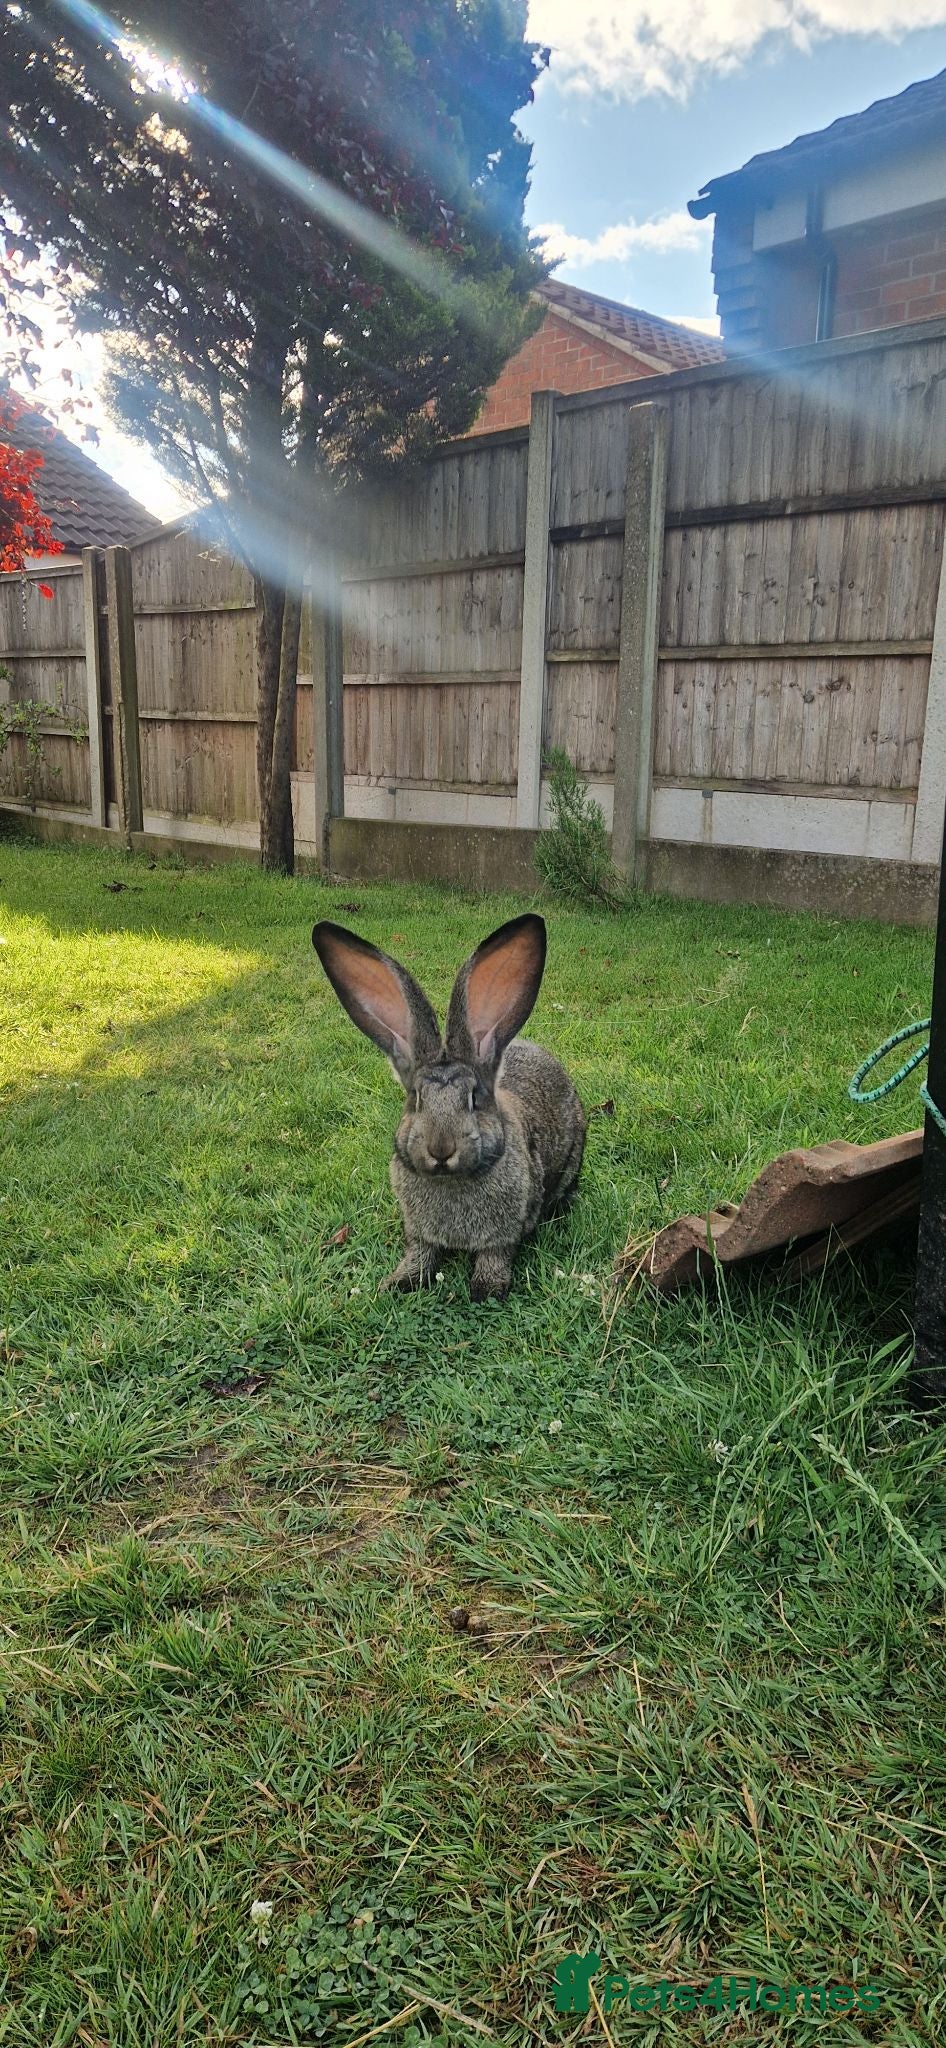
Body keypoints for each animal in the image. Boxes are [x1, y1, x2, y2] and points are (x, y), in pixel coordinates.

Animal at [312, 912, 585, 1301]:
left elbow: (495, 1253)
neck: (451, 1181)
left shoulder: (508, 1230)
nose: (440, 1149)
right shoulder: (418, 1233)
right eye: (416, 1098)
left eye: (474, 1098)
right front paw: (400, 1282)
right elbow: (420, 1253)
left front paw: (487, 1290)